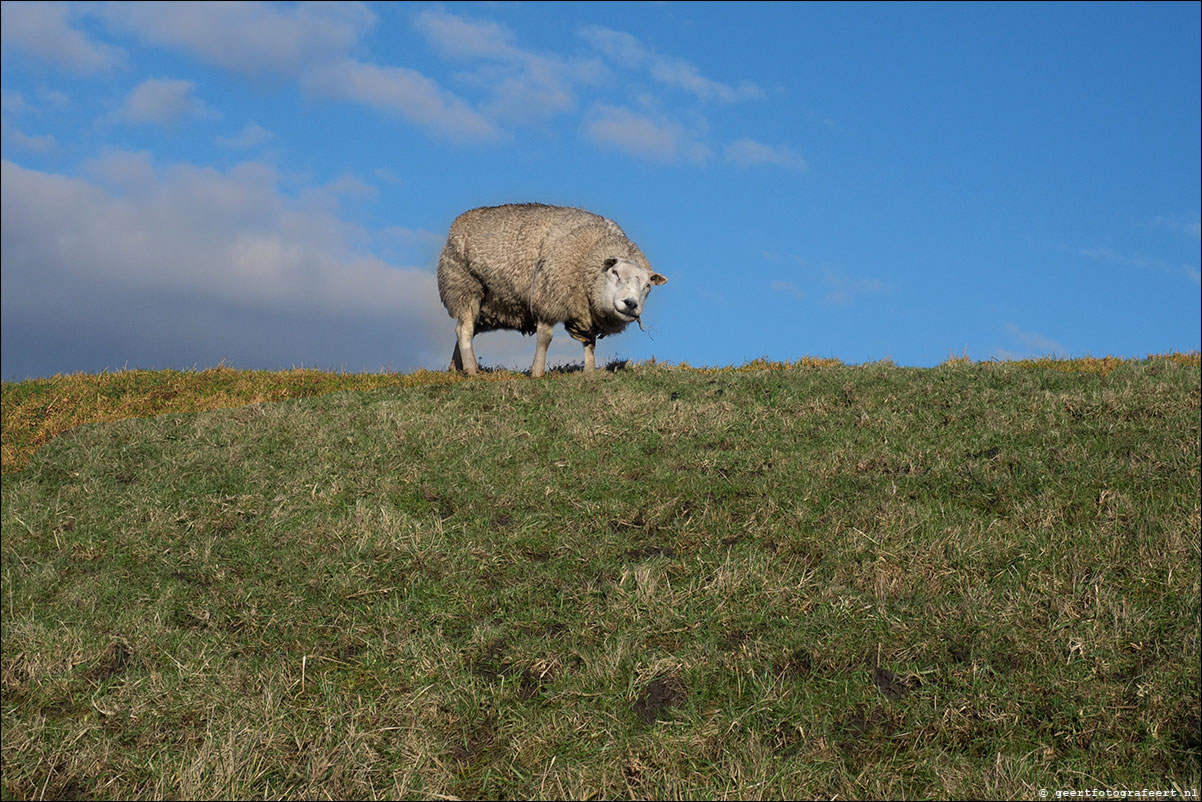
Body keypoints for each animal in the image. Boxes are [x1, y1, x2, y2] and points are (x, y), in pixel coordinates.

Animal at [437, 202, 673, 377]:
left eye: (647, 285)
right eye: (614, 272)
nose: (631, 304)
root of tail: (459, 222)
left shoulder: (586, 312)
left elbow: (590, 343)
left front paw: (589, 372)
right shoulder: (548, 299)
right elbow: (545, 338)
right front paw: (537, 372)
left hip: (490, 305)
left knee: (464, 330)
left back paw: (454, 369)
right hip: (464, 287)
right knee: (464, 330)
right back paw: (471, 369)